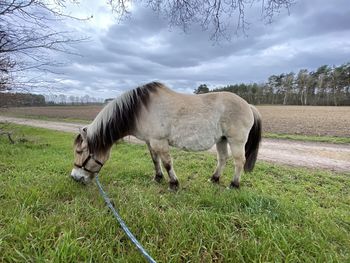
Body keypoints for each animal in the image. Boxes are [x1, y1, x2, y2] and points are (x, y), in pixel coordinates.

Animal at [71, 81, 262, 191]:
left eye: (80, 152)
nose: (75, 177)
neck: (140, 110)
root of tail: (248, 105)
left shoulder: (160, 142)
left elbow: (167, 163)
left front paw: (173, 184)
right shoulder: (150, 142)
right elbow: (155, 161)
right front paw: (158, 178)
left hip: (236, 141)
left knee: (239, 161)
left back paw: (234, 185)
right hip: (221, 140)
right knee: (222, 159)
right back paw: (214, 179)